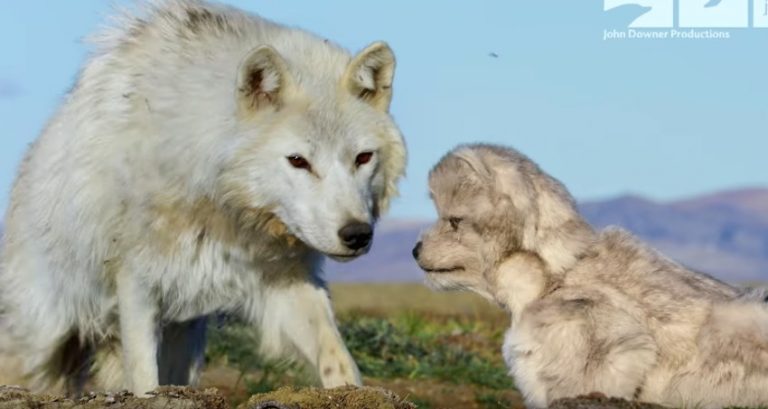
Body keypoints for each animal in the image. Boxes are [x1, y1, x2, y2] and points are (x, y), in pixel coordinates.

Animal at [0, 0, 406, 396]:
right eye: (298, 161)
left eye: (363, 158)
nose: (357, 234)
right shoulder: (136, 283)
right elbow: (144, 379)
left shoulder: (285, 280)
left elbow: (338, 358)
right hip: (42, 341)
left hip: (182, 343)